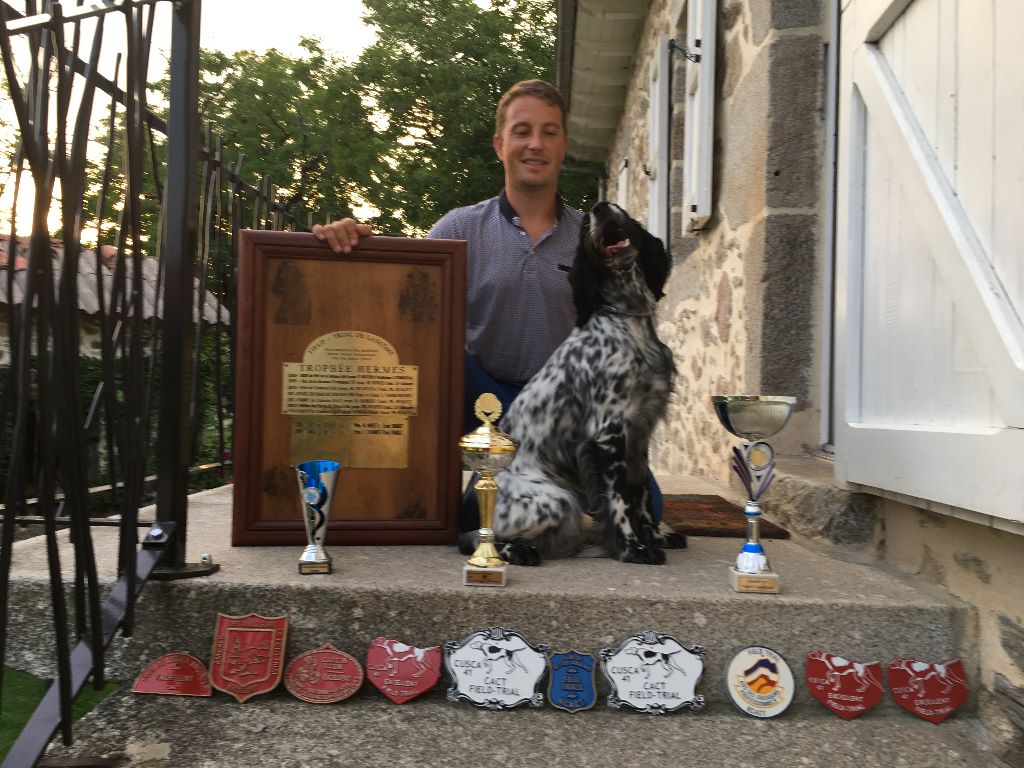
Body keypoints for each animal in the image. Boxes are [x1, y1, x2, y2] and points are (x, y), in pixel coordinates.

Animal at [460, 201, 684, 569]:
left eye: (621, 210)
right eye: (584, 227)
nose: (601, 206)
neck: (627, 320)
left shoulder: (639, 431)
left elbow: (641, 496)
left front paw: (655, 537)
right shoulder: (608, 430)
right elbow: (621, 500)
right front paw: (633, 548)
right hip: (556, 499)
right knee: (472, 539)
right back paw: (519, 551)